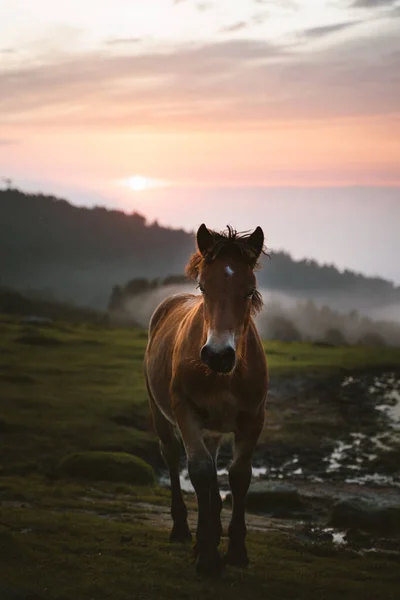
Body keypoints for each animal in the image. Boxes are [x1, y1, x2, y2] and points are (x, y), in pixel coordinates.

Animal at [144, 223, 268, 576]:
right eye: (203, 287)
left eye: (249, 291)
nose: (217, 355)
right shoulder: (184, 411)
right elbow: (198, 470)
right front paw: (209, 559)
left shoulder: (253, 418)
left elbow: (238, 475)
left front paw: (235, 551)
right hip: (160, 413)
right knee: (172, 456)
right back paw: (183, 531)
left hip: (213, 428)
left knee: (214, 468)